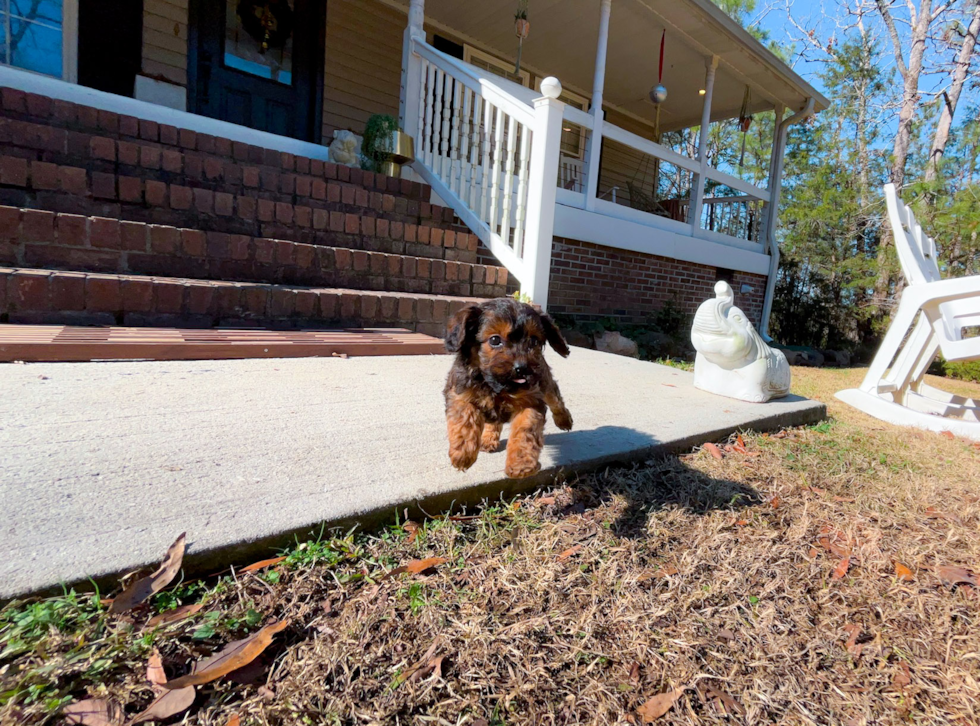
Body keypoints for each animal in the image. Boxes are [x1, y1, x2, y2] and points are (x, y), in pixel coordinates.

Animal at [446, 298, 576, 480]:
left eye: (533, 341)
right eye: (494, 340)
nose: (522, 368)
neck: (495, 386)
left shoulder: (531, 400)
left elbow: (525, 430)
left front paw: (521, 465)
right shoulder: (459, 391)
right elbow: (465, 417)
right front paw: (463, 453)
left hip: (544, 380)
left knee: (555, 399)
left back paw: (564, 419)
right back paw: (488, 438)